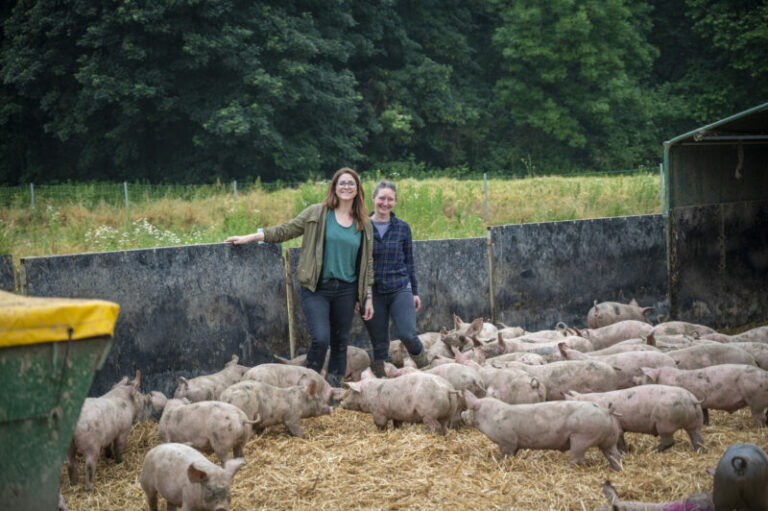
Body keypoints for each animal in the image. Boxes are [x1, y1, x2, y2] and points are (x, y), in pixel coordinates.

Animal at [460, 392, 620, 472]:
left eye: (470, 408)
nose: (462, 414)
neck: (492, 416)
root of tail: (606, 411)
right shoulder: (514, 443)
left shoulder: (507, 441)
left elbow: (506, 455)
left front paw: (501, 463)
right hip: (609, 438)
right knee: (615, 455)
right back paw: (617, 469)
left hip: (582, 437)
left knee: (577, 458)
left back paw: (566, 468)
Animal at [560, 386, 704, 454]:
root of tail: (692, 400)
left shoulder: (617, 425)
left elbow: (619, 439)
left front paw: (624, 453)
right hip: (696, 420)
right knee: (698, 438)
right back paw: (699, 451)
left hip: (665, 423)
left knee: (669, 441)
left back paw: (652, 451)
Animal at [640, 364, 768, 428]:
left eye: (648, 379)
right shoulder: (702, 403)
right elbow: (705, 414)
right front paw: (706, 424)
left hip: (756, 399)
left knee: (759, 417)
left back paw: (757, 428)